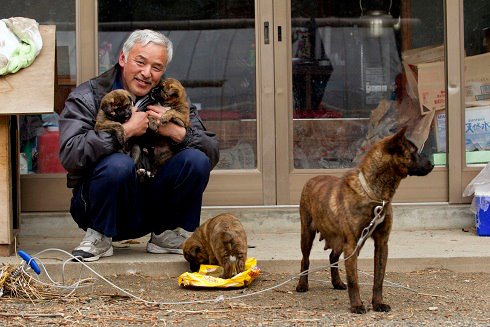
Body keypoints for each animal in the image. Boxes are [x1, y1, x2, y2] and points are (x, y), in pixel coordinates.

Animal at [294, 127, 432, 314]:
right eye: (414, 152)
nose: (432, 163)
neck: (374, 194)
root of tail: (312, 178)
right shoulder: (351, 244)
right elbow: (354, 280)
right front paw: (357, 305)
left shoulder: (381, 244)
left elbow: (378, 279)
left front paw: (378, 303)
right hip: (308, 234)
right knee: (305, 259)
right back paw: (302, 284)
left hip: (342, 241)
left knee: (332, 257)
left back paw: (337, 282)